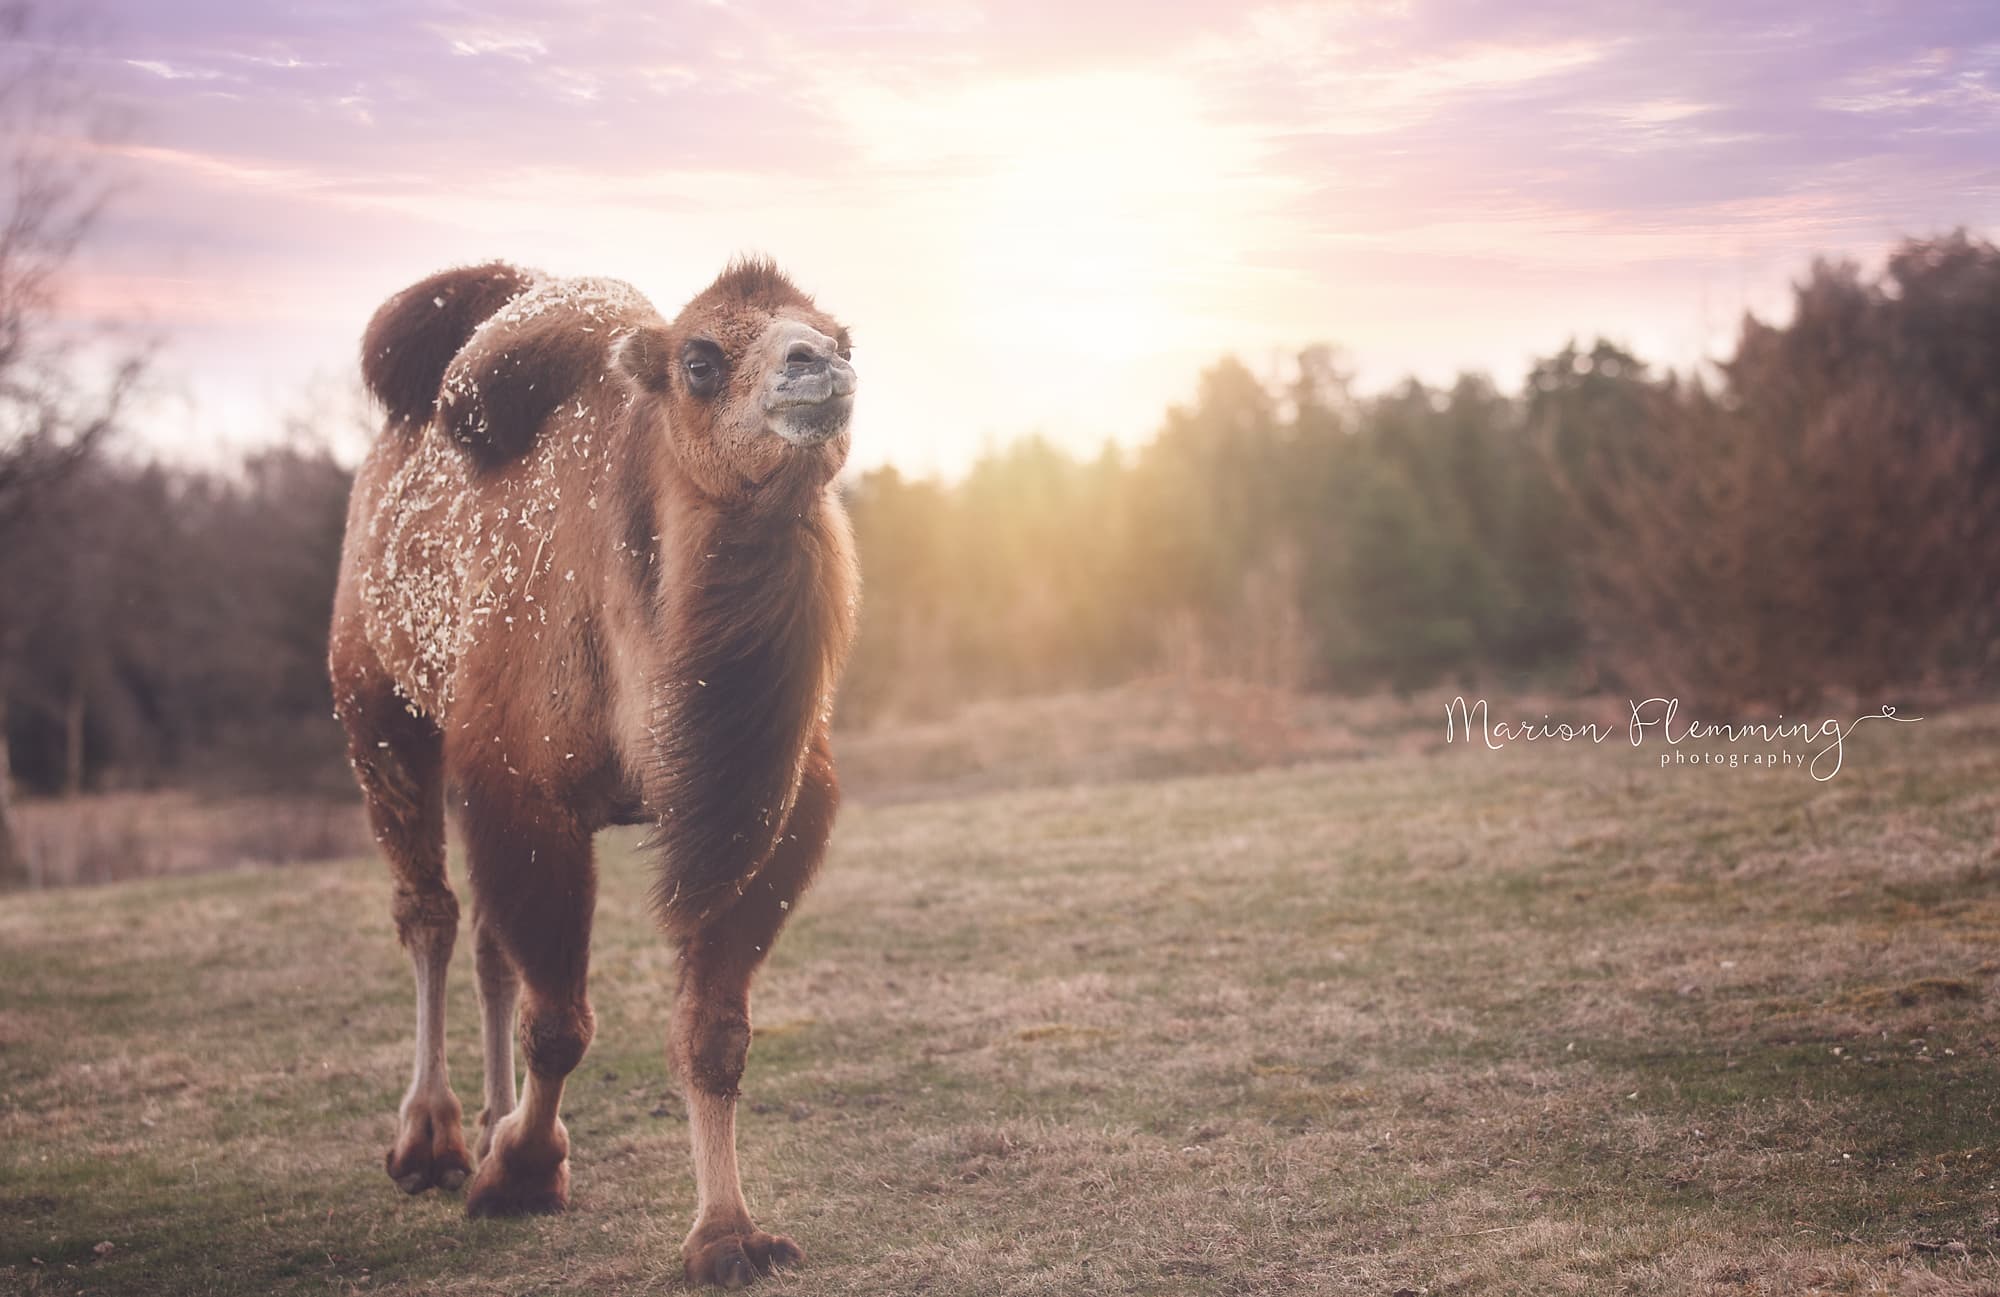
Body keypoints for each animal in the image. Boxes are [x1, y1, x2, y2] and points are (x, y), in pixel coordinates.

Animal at [328, 256, 860, 1288]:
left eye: (840, 333)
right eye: (701, 359)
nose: (819, 366)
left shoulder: (766, 815)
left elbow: (714, 1031)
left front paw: (728, 1234)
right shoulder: (523, 788)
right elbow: (562, 1022)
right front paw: (523, 1174)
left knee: (488, 941)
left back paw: (487, 1121)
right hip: (375, 708)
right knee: (431, 914)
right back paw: (432, 1142)